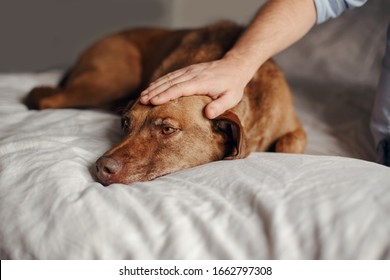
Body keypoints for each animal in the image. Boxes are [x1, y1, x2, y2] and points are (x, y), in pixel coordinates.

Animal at [25, 21, 308, 184]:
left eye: (168, 129)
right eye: (125, 123)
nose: (101, 167)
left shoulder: (294, 128)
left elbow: (289, 143)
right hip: (109, 81)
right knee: (45, 98)